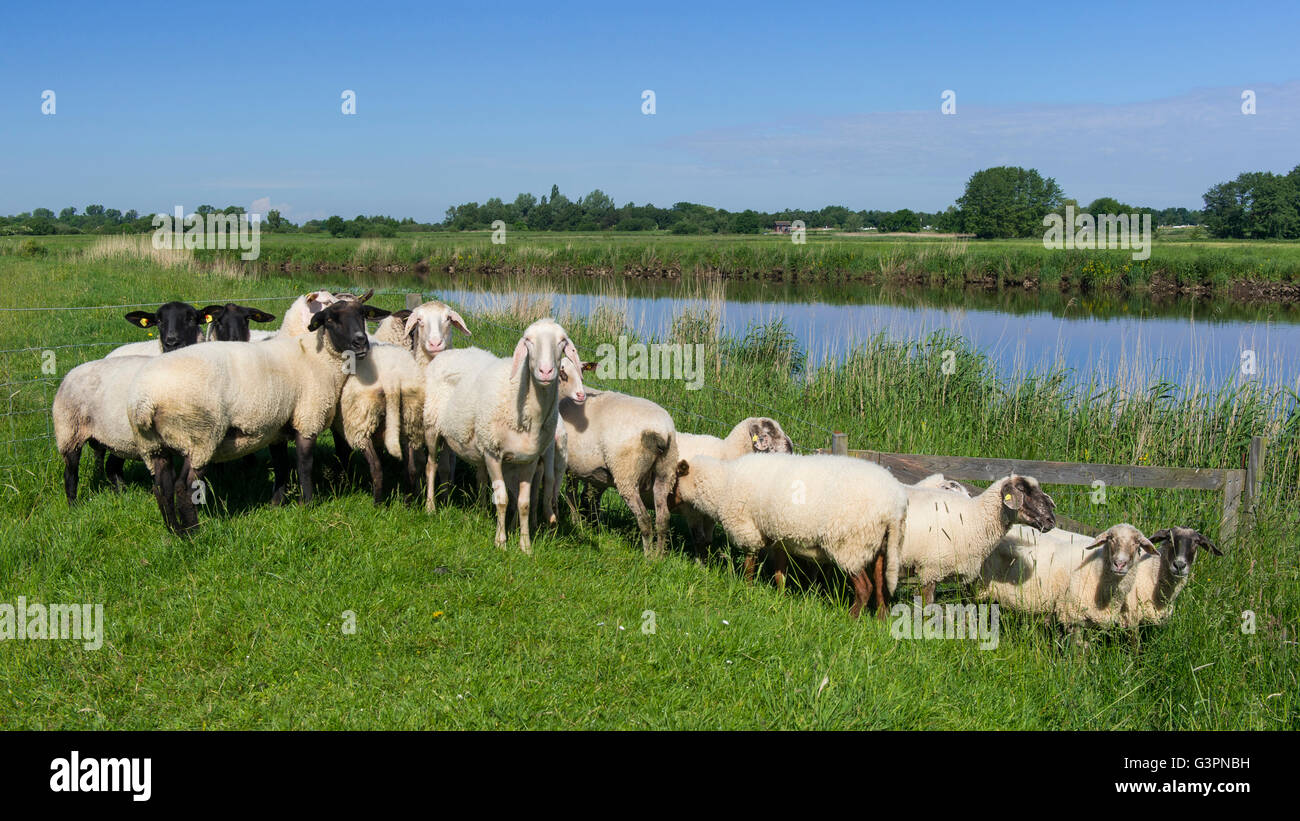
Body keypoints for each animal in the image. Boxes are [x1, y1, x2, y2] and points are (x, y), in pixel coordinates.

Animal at [126, 292, 390, 535]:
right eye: (331, 319)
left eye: (362, 315)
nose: (360, 342)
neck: (319, 357)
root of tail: (145, 400)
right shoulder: (308, 418)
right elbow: (304, 464)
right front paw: (307, 503)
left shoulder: (277, 428)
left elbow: (282, 465)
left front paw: (276, 503)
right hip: (200, 436)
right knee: (184, 485)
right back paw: (193, 533)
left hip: (154, 445)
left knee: (161, 487)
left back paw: (174, 531)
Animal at [423, 316, 582, 555]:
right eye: (528, 341)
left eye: (562, 341)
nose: (545, 372)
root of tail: (447, 353)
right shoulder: (492, 453)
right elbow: (502, 499)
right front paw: (501, 542)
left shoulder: (529, 460)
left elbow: (524, 502)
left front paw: (525, 546)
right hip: (431, 427)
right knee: (431, 465)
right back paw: (431, 506)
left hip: (456, 435)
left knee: (457, 470)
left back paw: (467, 507)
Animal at [559, 381, 681, 555]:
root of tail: (662, 432)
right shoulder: (586, 473)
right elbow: (583, 497)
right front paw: (586, 526)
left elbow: (572, 496)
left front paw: (576, 524)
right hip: (665, 472)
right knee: (663, 517)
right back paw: (659, 555)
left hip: (626, 472)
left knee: (644, 518)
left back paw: (648, 555)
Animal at [670, 452, 904, 618]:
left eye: (674, 480)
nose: (666, 503)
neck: (723, 485)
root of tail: (893, 506)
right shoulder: (778, 539)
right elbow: (779, 574)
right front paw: (780, 598)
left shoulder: (749, 531)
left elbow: (749, 566)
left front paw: (747, 589)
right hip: (877, 546)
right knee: (881, 587)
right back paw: (881, 621)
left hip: (849, 545)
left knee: (865, 588)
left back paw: (851, 618)